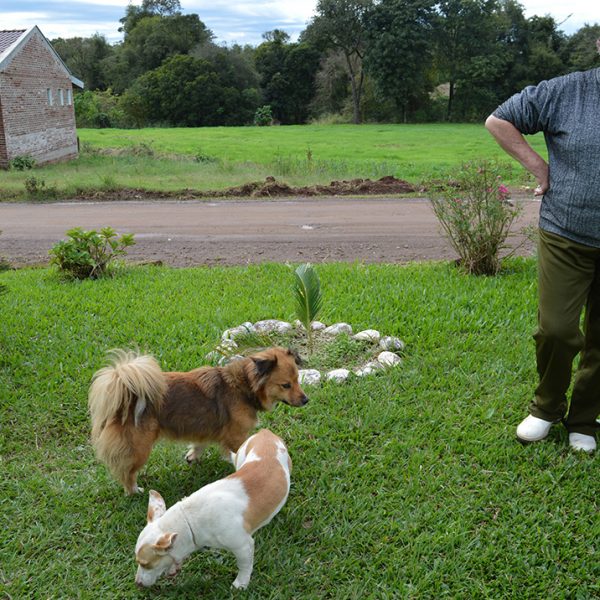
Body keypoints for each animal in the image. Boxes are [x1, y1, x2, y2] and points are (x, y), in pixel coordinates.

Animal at [88, 344, 310, 494]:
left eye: (298, 380)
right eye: (286, 385)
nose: (306, 400)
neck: (245, 386)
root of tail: (126, 394)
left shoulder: (206, 430)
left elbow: (200, 444)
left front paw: (192, 457)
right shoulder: (236, 436)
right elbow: (239, 452)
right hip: (140, 449)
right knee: (127, 472)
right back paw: (134, 490)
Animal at [133, 428, 290, 588]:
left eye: (145, 564)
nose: (137, 583)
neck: (189, 520)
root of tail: (265, 433)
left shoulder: (243, 546)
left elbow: (244, 566)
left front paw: (240, 585)